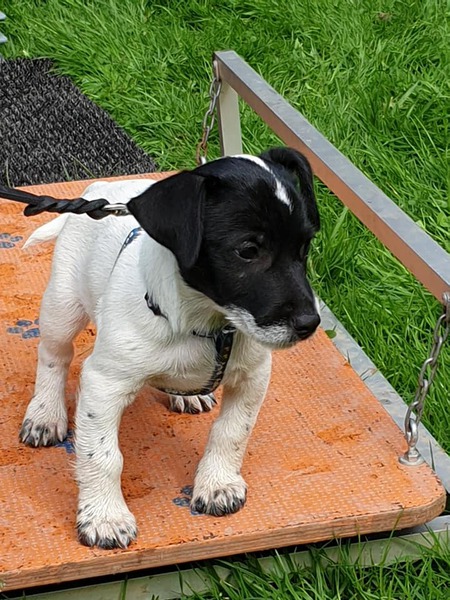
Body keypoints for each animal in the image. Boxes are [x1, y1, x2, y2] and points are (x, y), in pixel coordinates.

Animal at [19, 147, 320, 549]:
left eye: (304, 247)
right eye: (247, 250)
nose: (309, 324)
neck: (205, 324)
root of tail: (101, 191)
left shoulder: (253, 376)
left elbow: (232, 432)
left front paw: (217, 484)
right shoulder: (104, 384)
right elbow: (103, 455)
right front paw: (105, 517)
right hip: (63, 305)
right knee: (55, 356)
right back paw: (45, 414)